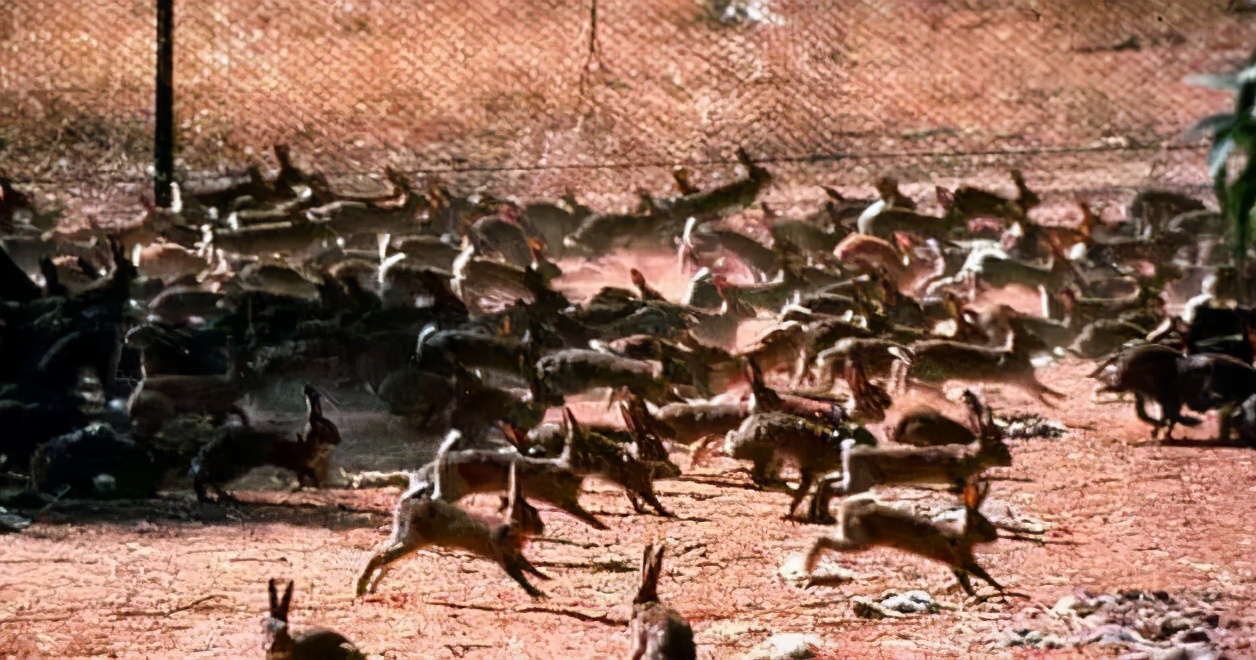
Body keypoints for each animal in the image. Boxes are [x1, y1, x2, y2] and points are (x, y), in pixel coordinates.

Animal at [356, 437, 549, 598]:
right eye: (533, 514)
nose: (542, 528)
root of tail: (411, 499)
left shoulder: (513, 553)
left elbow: (528, 566)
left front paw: (545, 578)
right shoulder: (503, 553)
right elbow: (519, 574)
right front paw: (537, 593)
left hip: (402, 534)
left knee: (382, 554)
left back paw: (369, 588)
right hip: (414, 540)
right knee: (381, 556)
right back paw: (360, 588)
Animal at [801, 480, 1007, 599]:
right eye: (981, 524)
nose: (995, 536)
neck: (962, 534)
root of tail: (845, 509)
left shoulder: (957, 564)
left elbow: (966, 582)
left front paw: (975, 595)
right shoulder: (962, 559)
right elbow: (982, 574)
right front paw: (1001, 588)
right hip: (859, 542)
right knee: (821, 539)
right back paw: (808, 567)